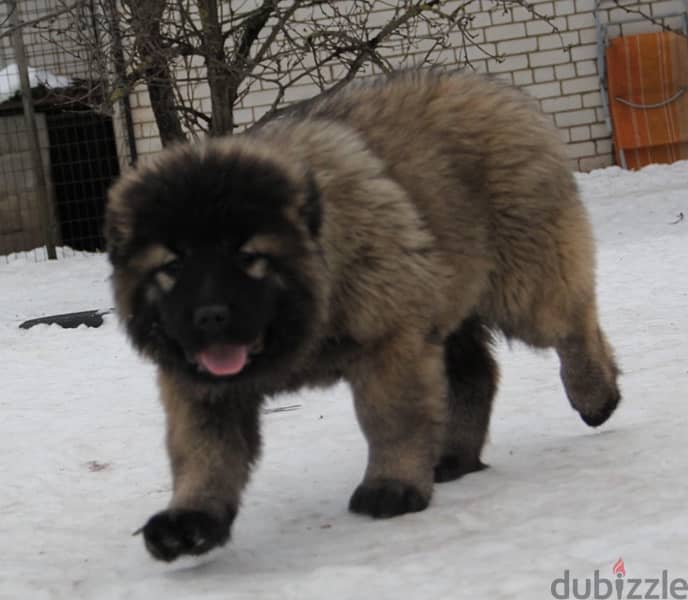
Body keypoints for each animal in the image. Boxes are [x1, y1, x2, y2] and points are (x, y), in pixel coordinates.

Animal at [105, 71, 620, 564]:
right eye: (173, 266)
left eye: (249, 257)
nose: (210, 316)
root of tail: (494, 89)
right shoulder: (200, 386)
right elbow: (203, 454)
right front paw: (190, 519)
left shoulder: (391, 342)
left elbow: (390, 418)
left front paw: (392, 485)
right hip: (444, 304)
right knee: (475, 374)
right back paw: (454, 456)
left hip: (524, 281)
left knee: (575, 323)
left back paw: (596, 395)